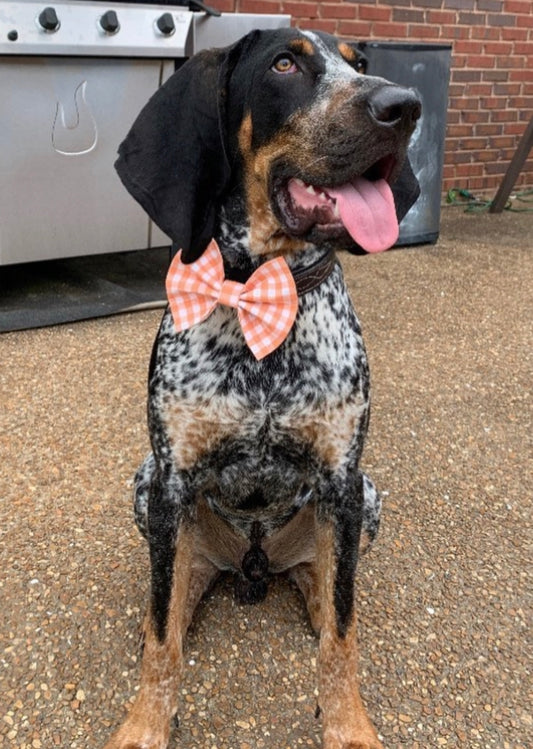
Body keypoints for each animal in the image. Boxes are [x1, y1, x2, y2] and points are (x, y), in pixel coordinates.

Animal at [104, 26, 420, 744]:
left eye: (360, 64)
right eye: (284, 65)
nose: (405, 105)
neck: (261, 295)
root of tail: (253, 558)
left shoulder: (342, 481)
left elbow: (343, 636)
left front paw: (347, 722)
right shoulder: (170, 481)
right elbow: (161, 642)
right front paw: (145, 722)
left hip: (366, 496)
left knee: (328, 588)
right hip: (146, 485)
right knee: (173, 597)